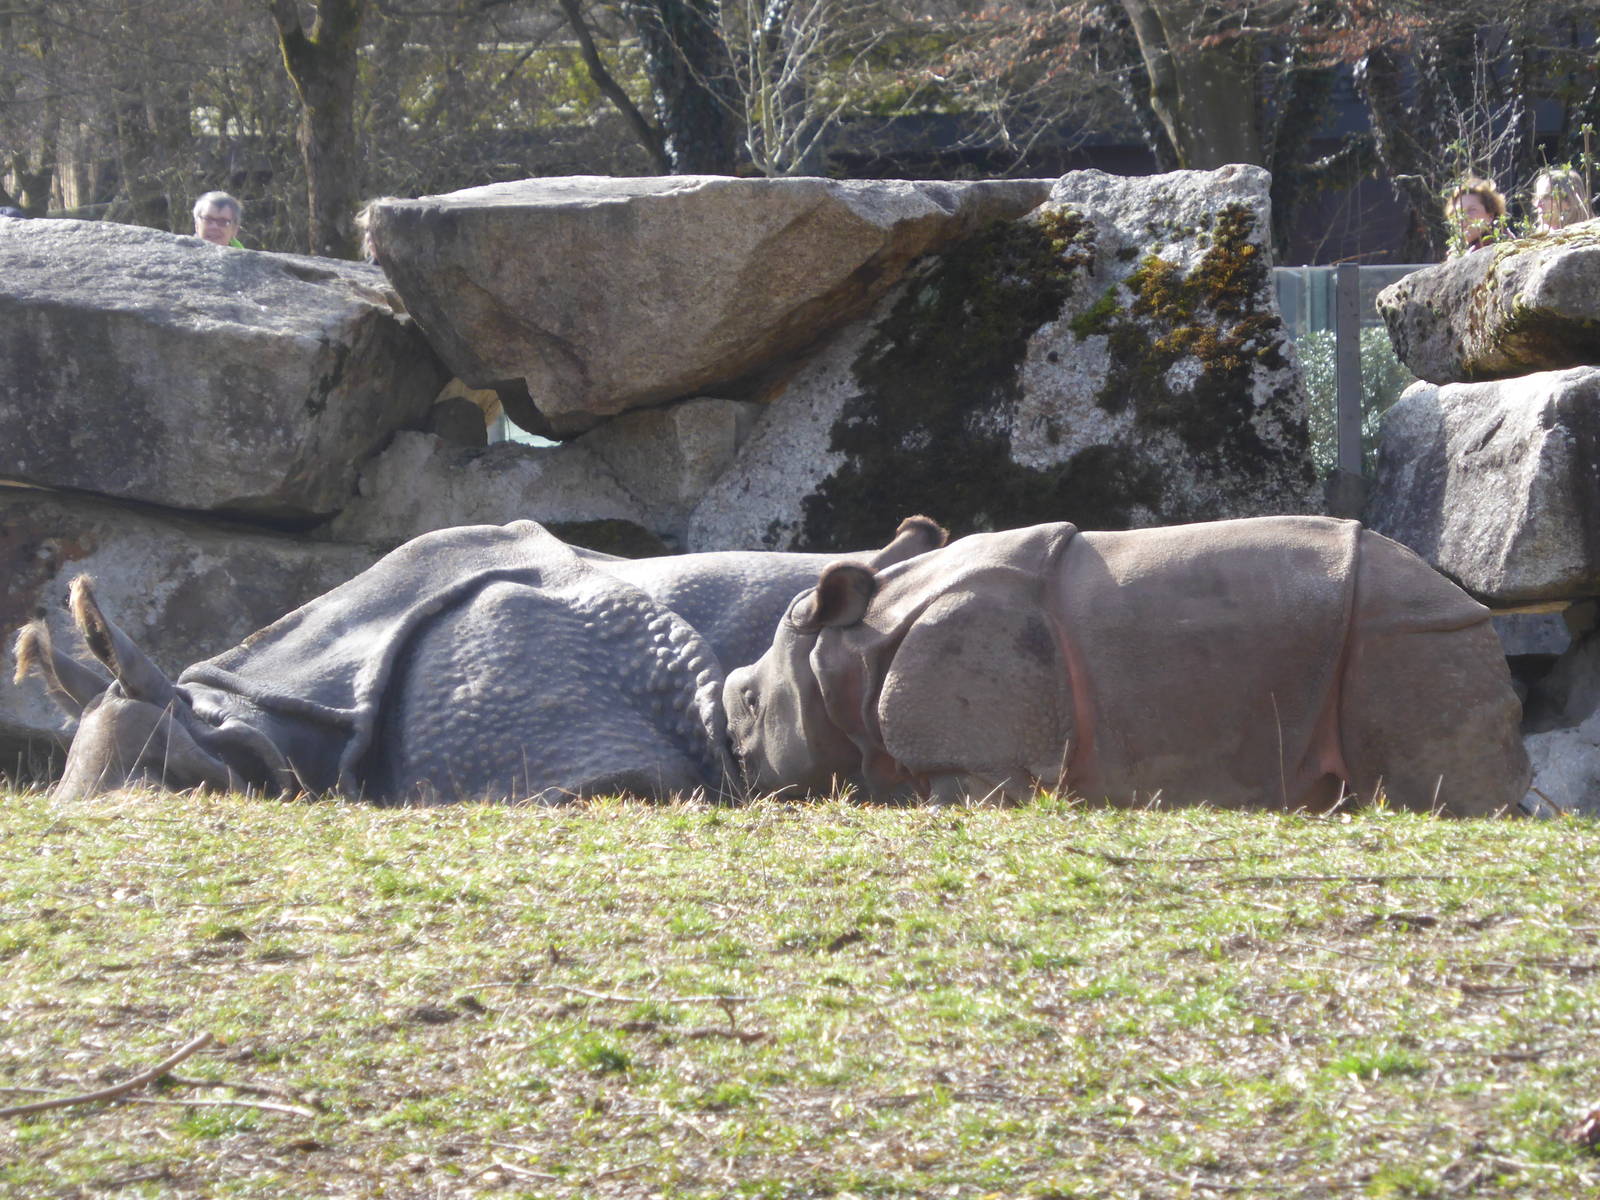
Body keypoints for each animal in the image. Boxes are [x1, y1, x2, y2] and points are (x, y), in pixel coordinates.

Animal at [724, 516, 1532, 815]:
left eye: (751, 706)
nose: (735, 763)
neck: (851, 649)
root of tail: (1463, 597)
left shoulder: (980, 763)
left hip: (1407, 635)